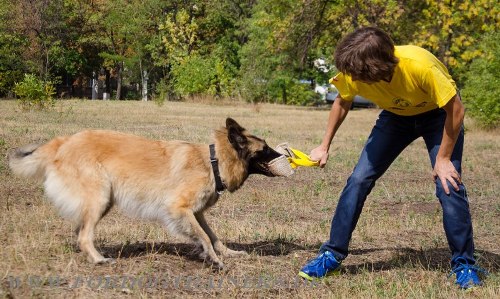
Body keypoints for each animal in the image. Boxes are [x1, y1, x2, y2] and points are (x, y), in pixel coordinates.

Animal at [7, 118, 292, 270]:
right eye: (265, 149)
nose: (287, 156)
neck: (213, 162)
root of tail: (62, 142)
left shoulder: (196, 212)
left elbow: (213, 236)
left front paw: (227, 253)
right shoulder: (178, 208)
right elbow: (204, 237)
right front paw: (213, 260)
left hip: (102, 200)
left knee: (80, 232)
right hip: (101, 197)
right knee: (84, 236)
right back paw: (99, 259)